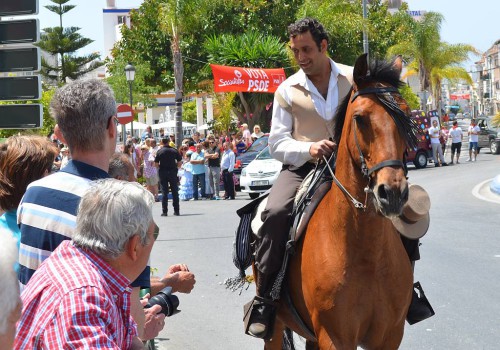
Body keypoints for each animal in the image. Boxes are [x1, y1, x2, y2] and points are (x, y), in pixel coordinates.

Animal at [264, 54, 420, 348]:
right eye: (360, 119)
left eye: (406, 116)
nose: (392, 192)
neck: (366, 253)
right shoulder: (335, 336)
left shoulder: (389, 335)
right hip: (276, 326)